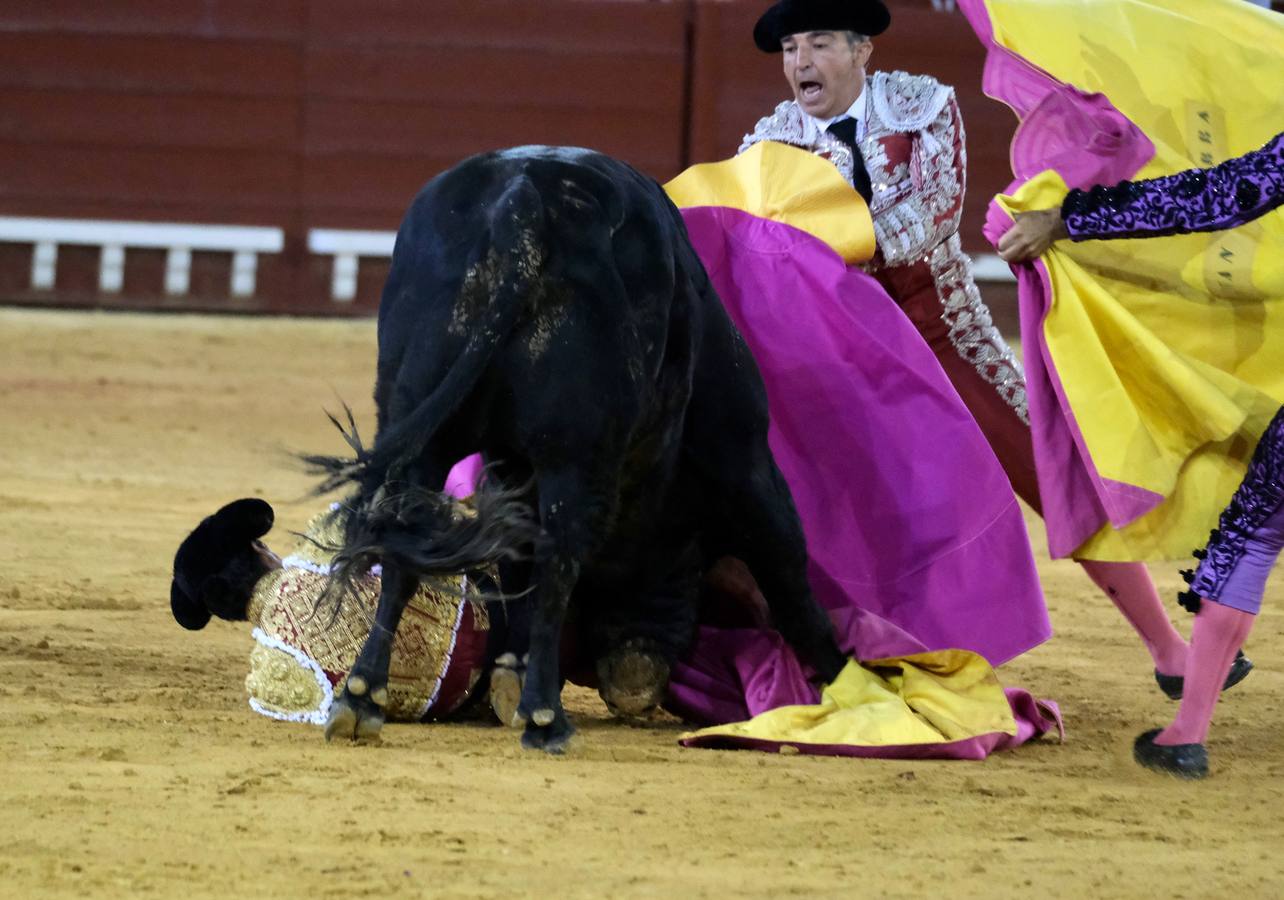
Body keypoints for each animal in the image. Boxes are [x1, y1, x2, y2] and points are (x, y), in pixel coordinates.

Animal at [315, 148, 847, 749]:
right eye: (689, 577)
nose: (635, 684)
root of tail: (522, 202)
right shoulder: (743, 455)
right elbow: (788, 568)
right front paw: (844, 676)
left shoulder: (507, 470)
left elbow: (513, 556)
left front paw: (511, 669)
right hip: (574, 453)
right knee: (558, 559)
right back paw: (545, 716)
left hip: (419, 433)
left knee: (407, 542)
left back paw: (361, 698)